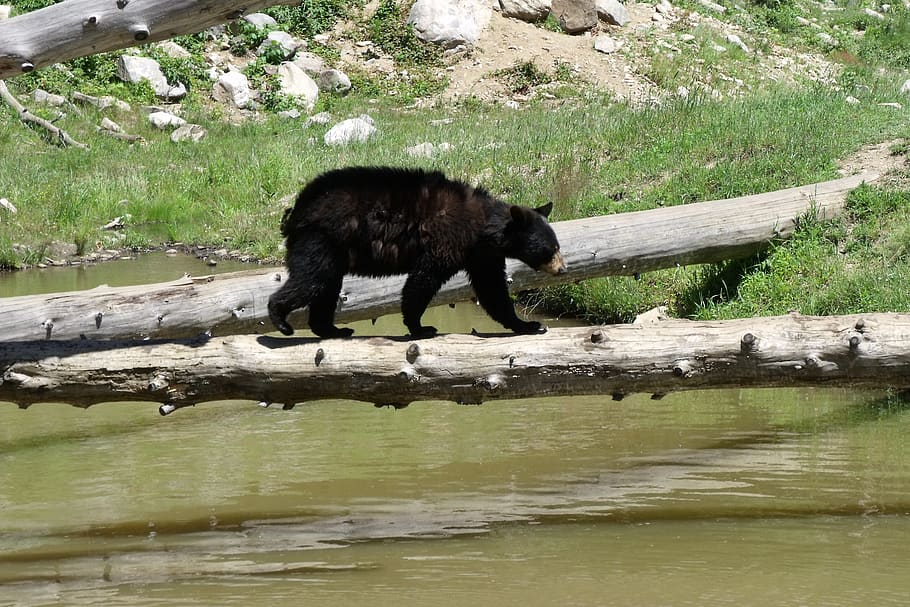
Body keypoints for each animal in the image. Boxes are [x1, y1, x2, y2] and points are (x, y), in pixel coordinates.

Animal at [268, 166, 566, 339]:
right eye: (551, 248)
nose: (562, 268)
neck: (483, 227)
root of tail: (297, 209)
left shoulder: (482, 255)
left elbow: (492, 290)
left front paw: (527, 325)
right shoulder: (448, 240)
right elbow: (423, 281)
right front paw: (420, 327)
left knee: (326, 286)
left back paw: (332, 328)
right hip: (322, 237)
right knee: (313, 280)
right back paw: (280, 318)